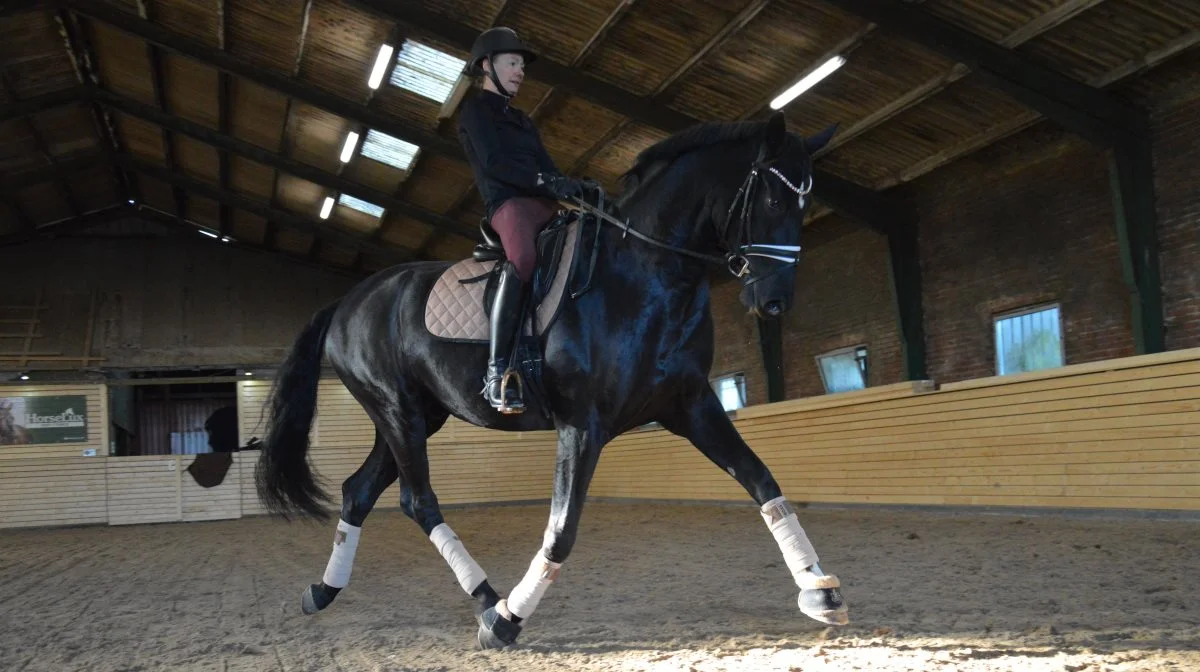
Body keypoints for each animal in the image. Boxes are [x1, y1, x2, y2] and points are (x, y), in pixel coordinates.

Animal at [258, 110, 849, 648]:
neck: (646, 273)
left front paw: (819, 589)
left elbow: (762, 480)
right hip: (396, 410)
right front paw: (506, 621)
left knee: (359, 492)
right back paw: (487, 598)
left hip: (415, 416)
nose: (774, 302)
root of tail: (348, 301)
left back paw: (323, 592)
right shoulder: (583, 424)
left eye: (804, 205)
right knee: (416, 500)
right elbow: (562, 530)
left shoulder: (690, 405)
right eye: (772, 201)